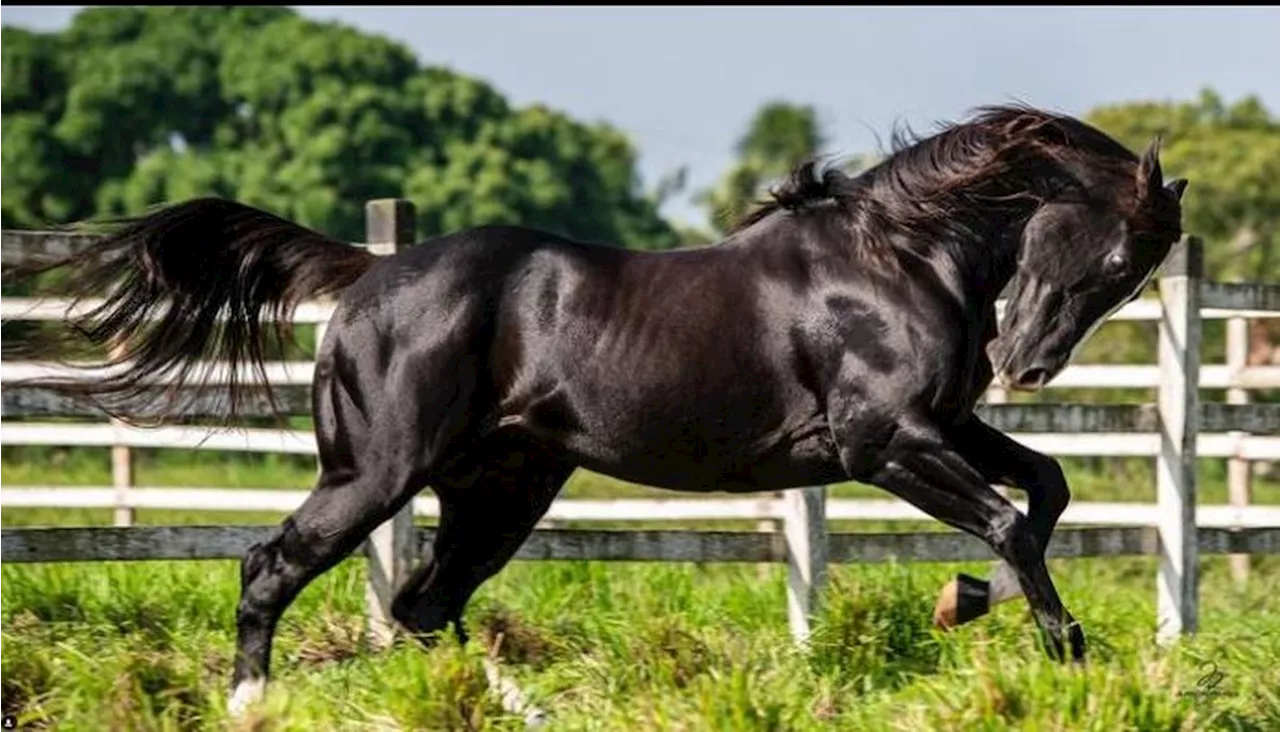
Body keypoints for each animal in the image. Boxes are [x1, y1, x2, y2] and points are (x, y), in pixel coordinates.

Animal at [5, 104, 1187, 716]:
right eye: (1116, 259)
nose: (1027, 363)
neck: (893, 260)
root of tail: (368, 276)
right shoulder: (881, 444)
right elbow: (1007, 520)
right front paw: (1053, 646)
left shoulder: (941, 428)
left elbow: (1044, 490)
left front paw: (971, 603)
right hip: (377, 474)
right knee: (275, 569)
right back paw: (250, 703)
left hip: (502, 490)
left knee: (425, 605)